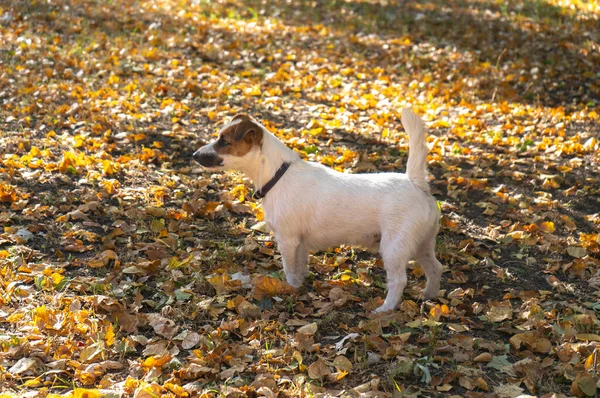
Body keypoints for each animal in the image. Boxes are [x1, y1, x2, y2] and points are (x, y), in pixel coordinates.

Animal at [195, 109, 442, 314]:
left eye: (224, 141)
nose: (194, 155)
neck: (278, 175)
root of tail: (416, 183)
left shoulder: (287, 240)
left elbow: (289, 270)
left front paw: (289, 289)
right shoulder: (300, 244)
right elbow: (300, 267)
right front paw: (300, 286)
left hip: (394, 248)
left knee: (399, 280)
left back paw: (385, 309)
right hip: (422, 244)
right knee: (435, 268)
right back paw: (429, 295)